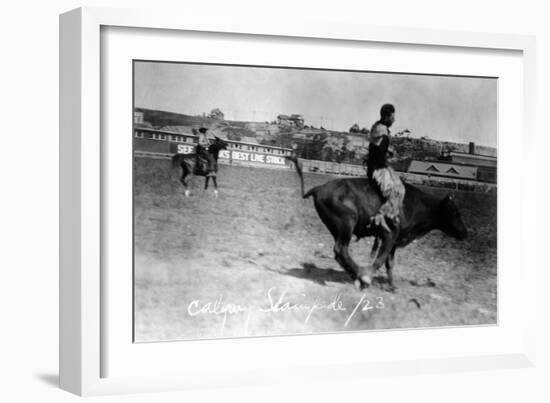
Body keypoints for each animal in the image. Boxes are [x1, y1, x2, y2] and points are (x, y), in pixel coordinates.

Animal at [288, 156, 470, 292]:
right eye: (455, 212)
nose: (465, 233)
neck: (414, 204)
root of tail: (319, 189)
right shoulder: (388, 236)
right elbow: (380, 260)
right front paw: (369, 277)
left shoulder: (394, 241)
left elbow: (389, 264)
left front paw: (392, 286)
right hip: (347, 223)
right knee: (341, 250)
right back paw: (361, 277)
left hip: (336, 229)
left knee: (340, 253)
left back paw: (356, 276)